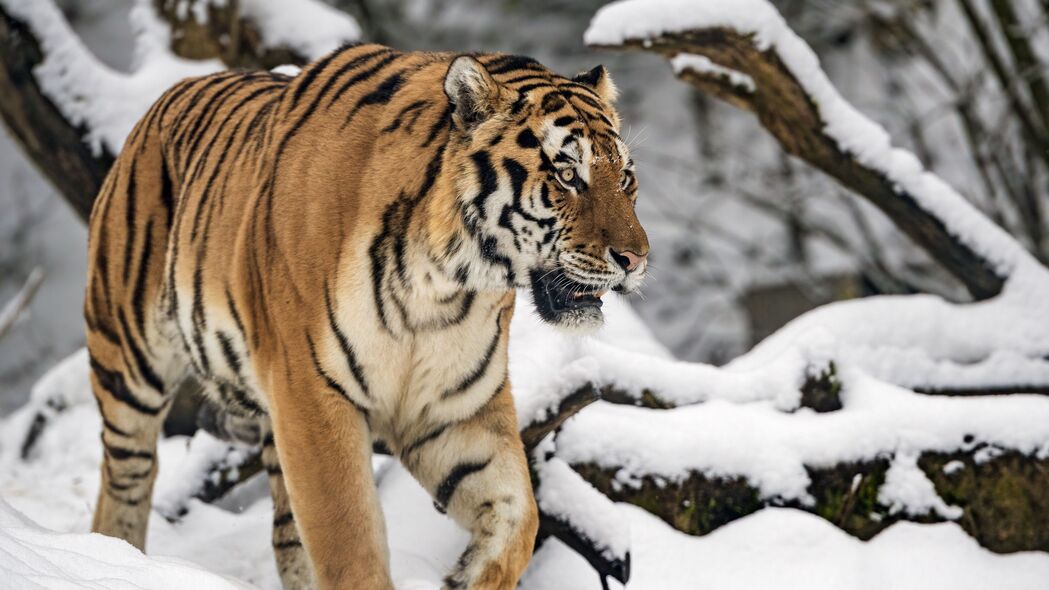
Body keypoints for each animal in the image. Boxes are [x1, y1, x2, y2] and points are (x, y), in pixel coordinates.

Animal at [83, 42, 646, 587]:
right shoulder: (311, 394)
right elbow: (349, 543)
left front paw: (467, 575)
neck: (445, 284)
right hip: (128, 362)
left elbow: (519, 518)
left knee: (287, 536)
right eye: (567, 174)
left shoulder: (453, 409)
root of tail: (173, 92)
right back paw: (116, 556)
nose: (636, 259)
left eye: (626, 178)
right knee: (126, 477)